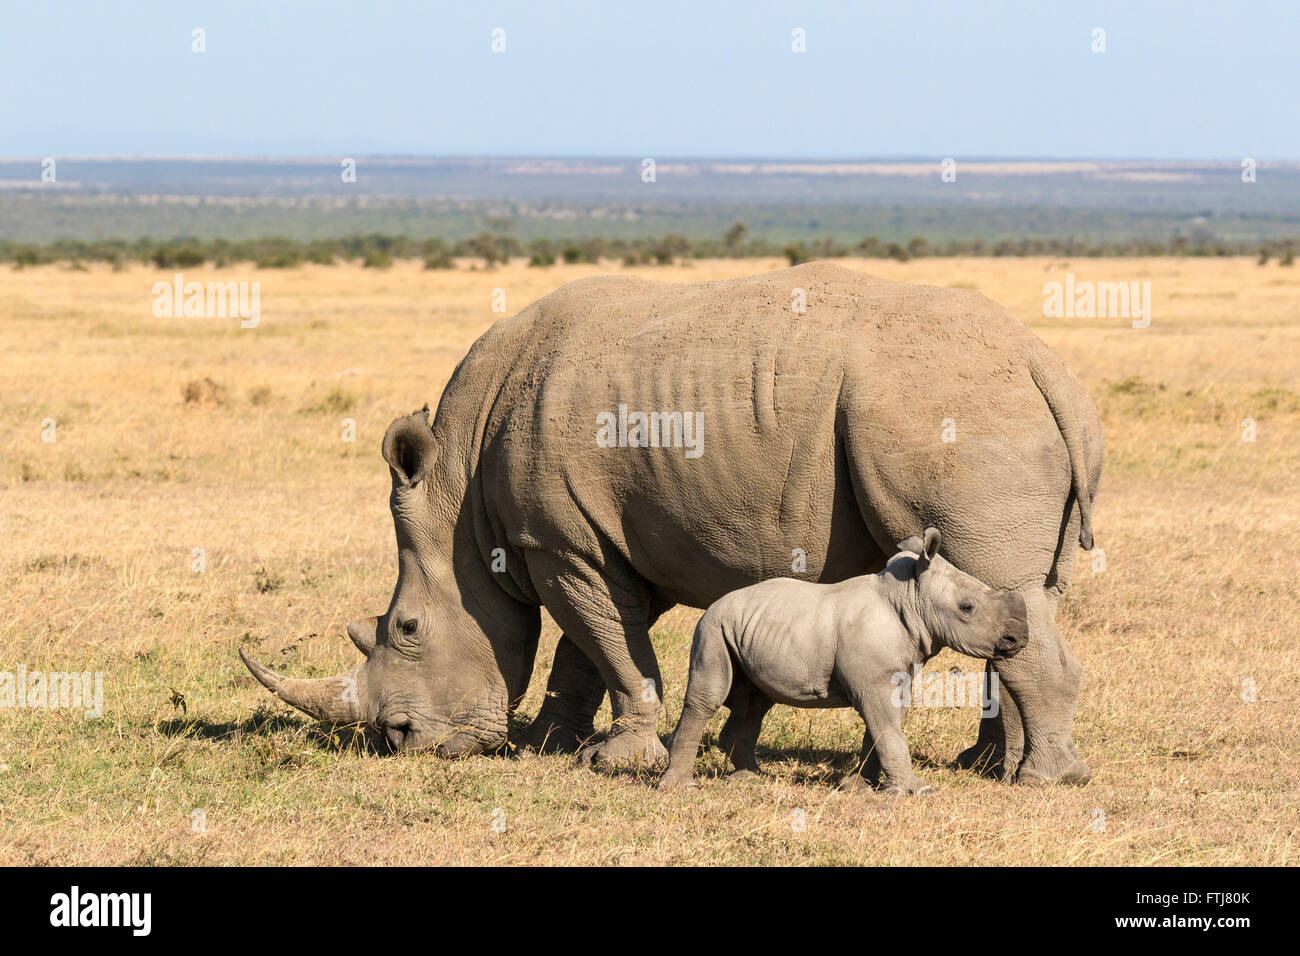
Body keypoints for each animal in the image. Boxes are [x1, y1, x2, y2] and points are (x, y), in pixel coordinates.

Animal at [665, 530, 1029, 790]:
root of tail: (715, 603)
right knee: (711, 694)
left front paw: (859, 786)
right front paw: (917, 791)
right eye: (967, 607)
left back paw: (752, 777)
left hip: (748, 628)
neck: (909, 597)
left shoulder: (896, 675)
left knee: (756, 701)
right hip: (713, 626)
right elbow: (887, 727)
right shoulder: (873, 680)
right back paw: (681, 788)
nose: (1019, 639)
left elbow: (884, 727)